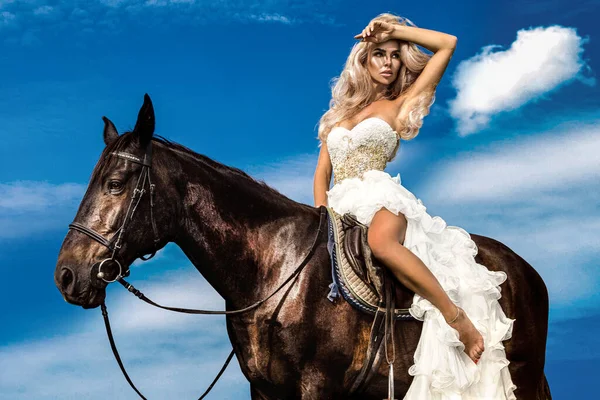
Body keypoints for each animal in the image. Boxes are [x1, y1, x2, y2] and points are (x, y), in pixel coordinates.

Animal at [54, 95, 552, 398]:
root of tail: (525, 271)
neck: (274, 269)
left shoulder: (315, 386)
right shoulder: (263, 390)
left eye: (116, 183)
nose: (66, 275)